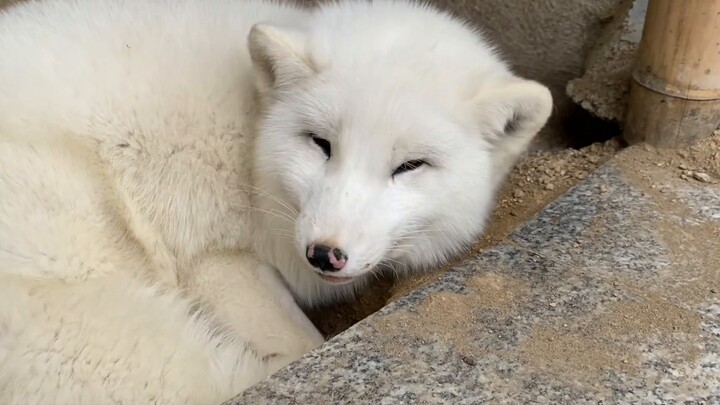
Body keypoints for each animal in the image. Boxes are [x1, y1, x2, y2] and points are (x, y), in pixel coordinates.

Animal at [0, 0, 552, 400]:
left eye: (410, 166)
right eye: (320, 143)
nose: (325, 253)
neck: (250, 143)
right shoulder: (214, 257)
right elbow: (301, 341)